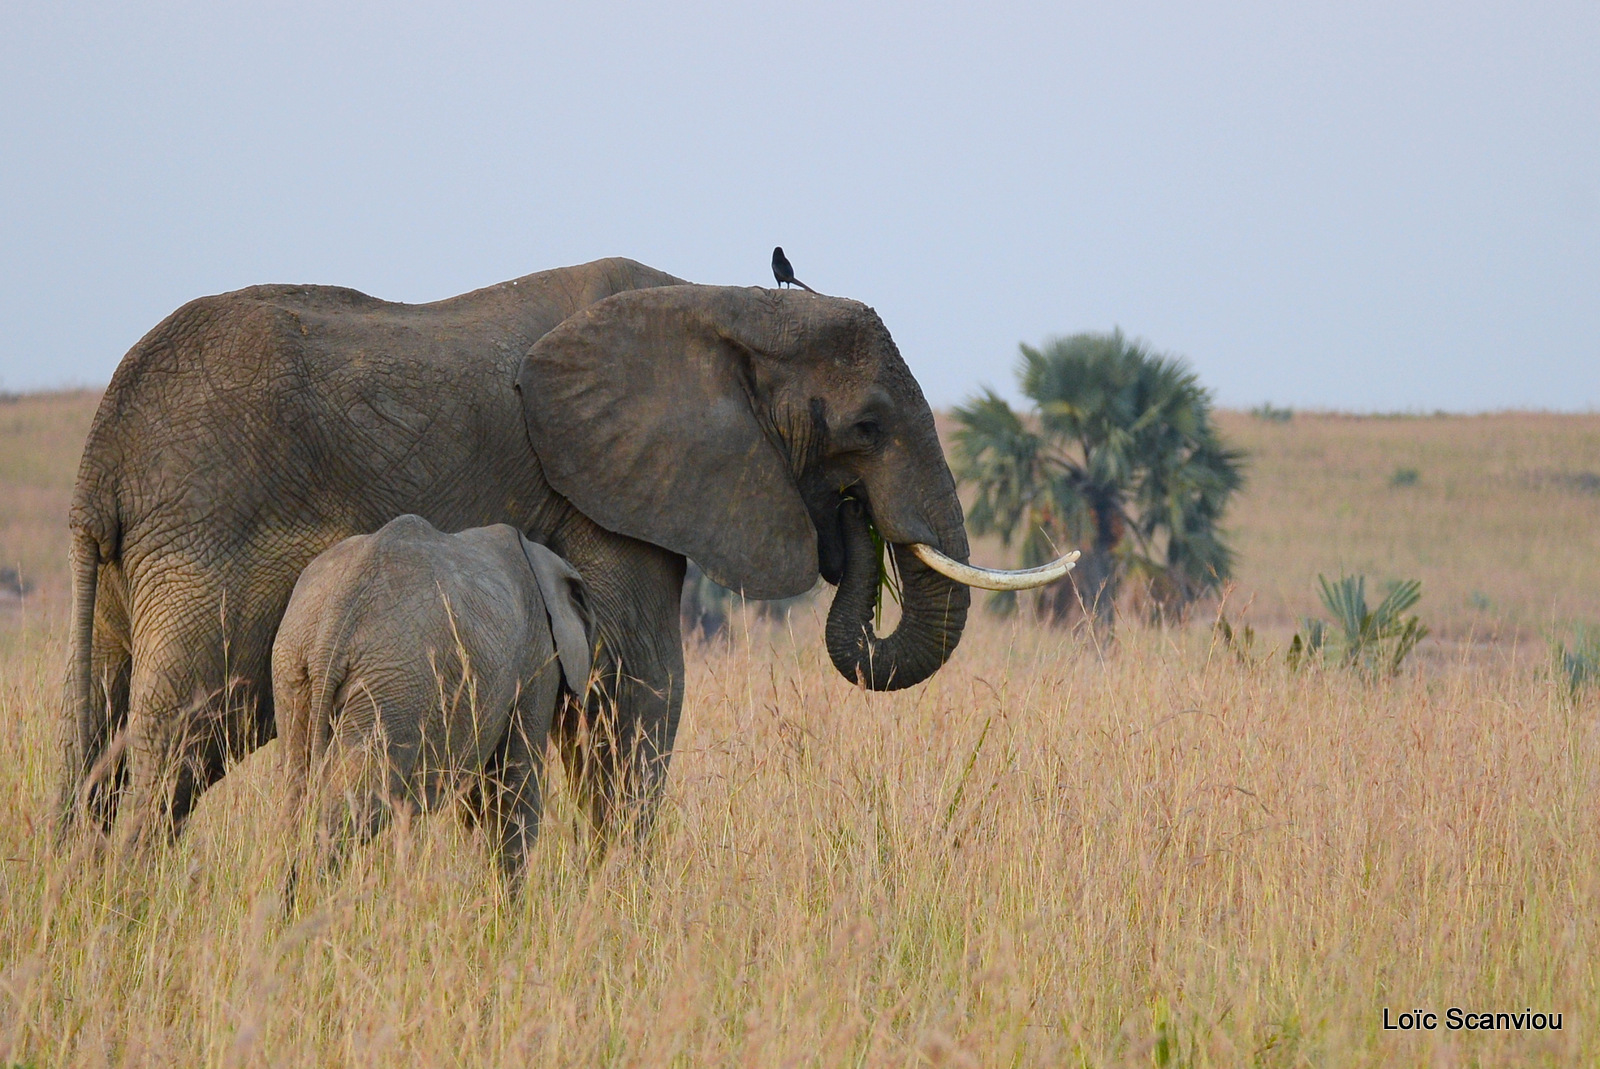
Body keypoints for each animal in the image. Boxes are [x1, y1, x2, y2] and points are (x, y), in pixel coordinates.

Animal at [59, 256, 1075, 844]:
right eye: (864, 425)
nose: (850, 522)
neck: (723, 303)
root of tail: (101, 461)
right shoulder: (601, 491)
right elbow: (639, 691)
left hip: (135, 578)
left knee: (100, 742)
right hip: (207, 548)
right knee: (176, 747)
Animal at [272, 512, 592, 889]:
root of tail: (333, 625)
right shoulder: (537, 659)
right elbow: (515, 785)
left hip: (294, 667)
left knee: (297, 795)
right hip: (393, 685)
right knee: (357, 808)